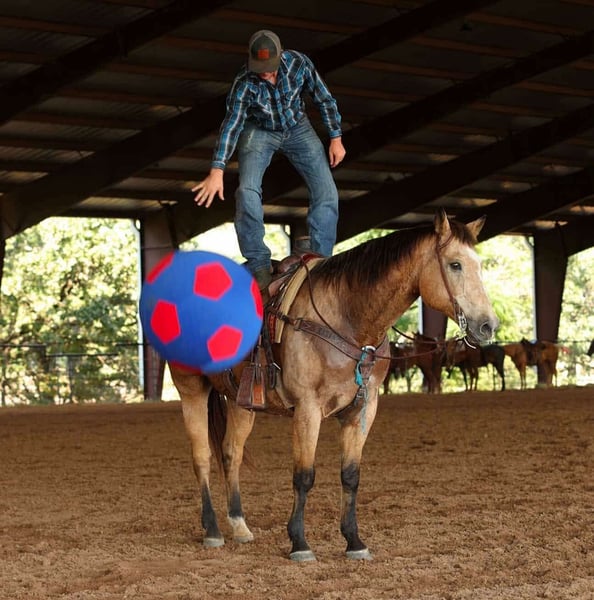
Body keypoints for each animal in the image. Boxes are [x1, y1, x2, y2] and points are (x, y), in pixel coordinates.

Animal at [169, 210, 498, 561]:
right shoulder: (307, 409)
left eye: (479, 264)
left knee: (231, 453)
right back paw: (212, 530)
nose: (488, 325)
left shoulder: (363, 409)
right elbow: (304, 476)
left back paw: (239, 525)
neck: (348, 319)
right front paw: (299, 543)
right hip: (191, 389)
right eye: (455, 264)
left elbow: (350, 476)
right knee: (202, 456)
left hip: (240, 399)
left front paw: (354, 541)